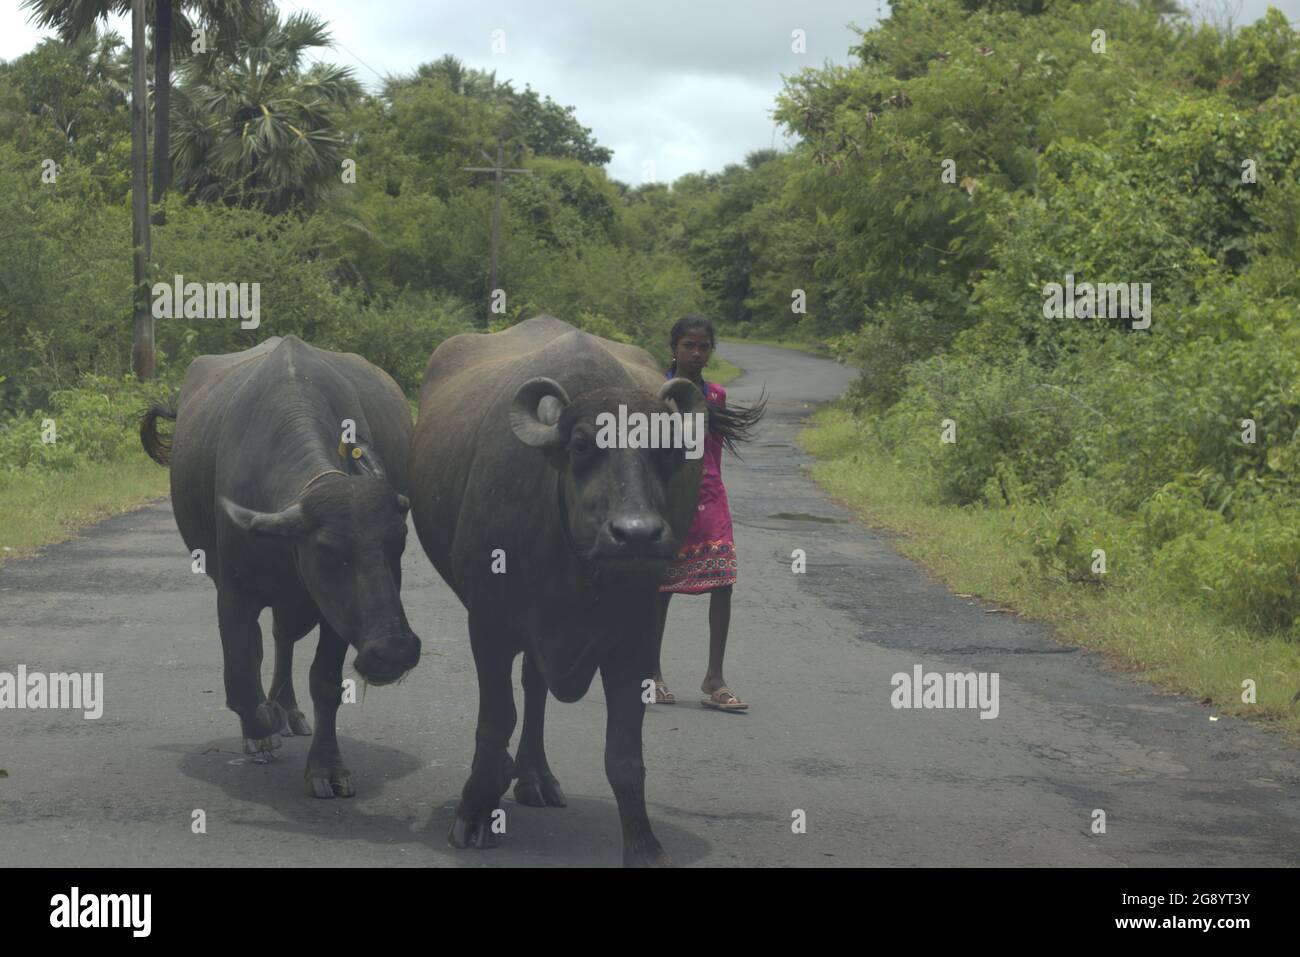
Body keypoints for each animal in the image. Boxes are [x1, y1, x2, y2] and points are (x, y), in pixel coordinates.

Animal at [141, 335, 421, 800]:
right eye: (326, 550)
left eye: (398, 541)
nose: (393, 651)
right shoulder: (233, 590)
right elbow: (240, 672)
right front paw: (261, 727)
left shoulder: (334, 611)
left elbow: (324, 682)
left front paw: (327, 767)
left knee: (283, 638)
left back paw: (287, 708)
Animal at [410, 315, 759, 868]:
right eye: (580, 446)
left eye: (665, 450)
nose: (636, 534)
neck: (576, 566)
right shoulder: (488, 622)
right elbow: (495, 719)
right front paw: (475, 811)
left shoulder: (635, 635)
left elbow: (625, 752)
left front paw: (644, 846)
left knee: (535, 686)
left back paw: (534, 776)